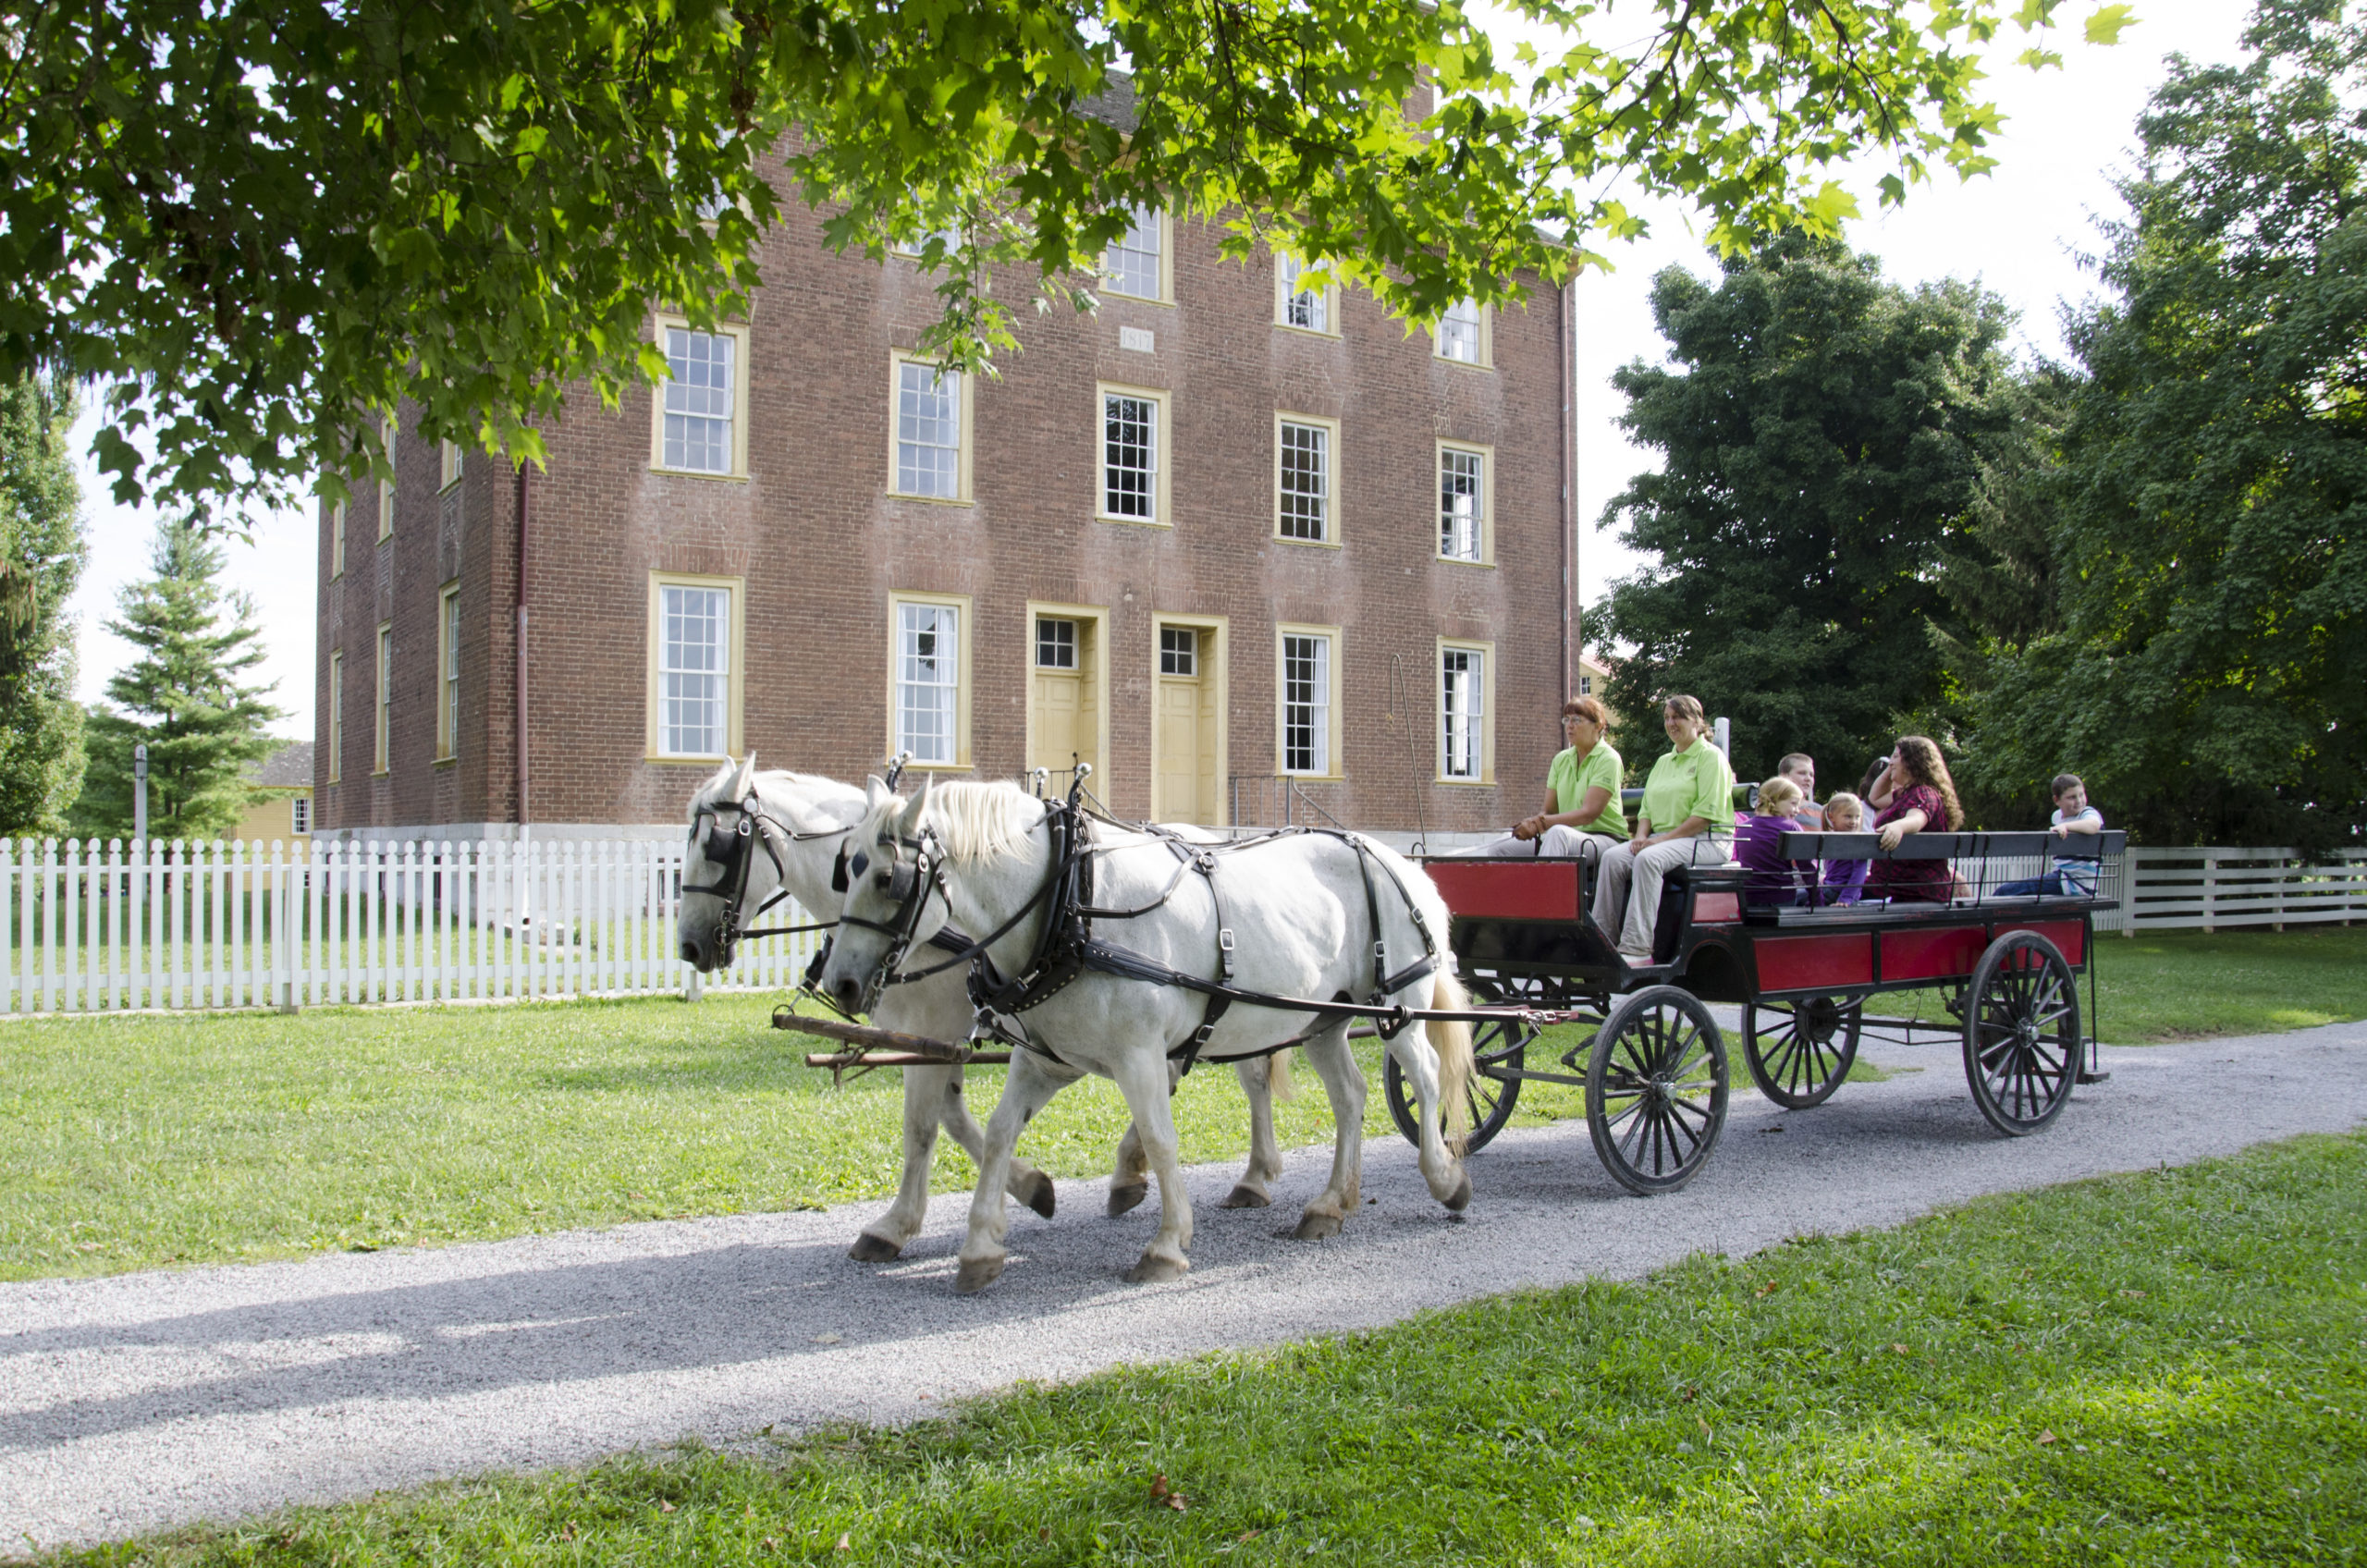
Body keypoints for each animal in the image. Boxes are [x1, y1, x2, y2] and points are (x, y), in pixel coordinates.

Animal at [667, 762, 1296, 1269]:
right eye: (848, 867)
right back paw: (1143, 1171)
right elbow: (951, 1117)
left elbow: (926, 1123)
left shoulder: (936, 1025)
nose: (690, 946)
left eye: (715, 848)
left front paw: (905, 1222)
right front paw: (1024, 1188)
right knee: (1195, 1072)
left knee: (1249, 1074)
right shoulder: (939, 1035)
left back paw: (1250, 1174)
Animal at [823, 781, 1467, 1297]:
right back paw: (1331, 1205)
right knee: (1350, 1096)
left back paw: (1446, 1179)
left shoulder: (1140, 1055)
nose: (838, 983)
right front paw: (984, 1243)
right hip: (1321, 1019)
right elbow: (1001, 1131)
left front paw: (1167, 1243)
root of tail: (1405, 865)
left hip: (1395, 1005)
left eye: (886, 877)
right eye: (845, 869)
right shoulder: (1044, 1061)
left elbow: (1160, 1140)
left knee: (1425, 1075)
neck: (1071, 903)